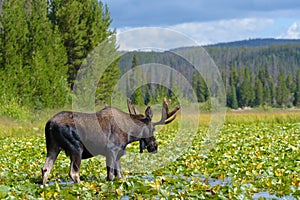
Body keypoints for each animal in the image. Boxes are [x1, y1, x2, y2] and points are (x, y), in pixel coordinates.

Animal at [41, 98, 179, 184]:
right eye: (153, 128)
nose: (155, 146)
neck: (129, 133)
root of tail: (49, 124)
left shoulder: (117, 153)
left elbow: (119, 175)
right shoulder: (112, 150)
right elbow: (111, 176)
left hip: (53, 146)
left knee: (45, 169)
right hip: (76, 148)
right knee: (74, 173)